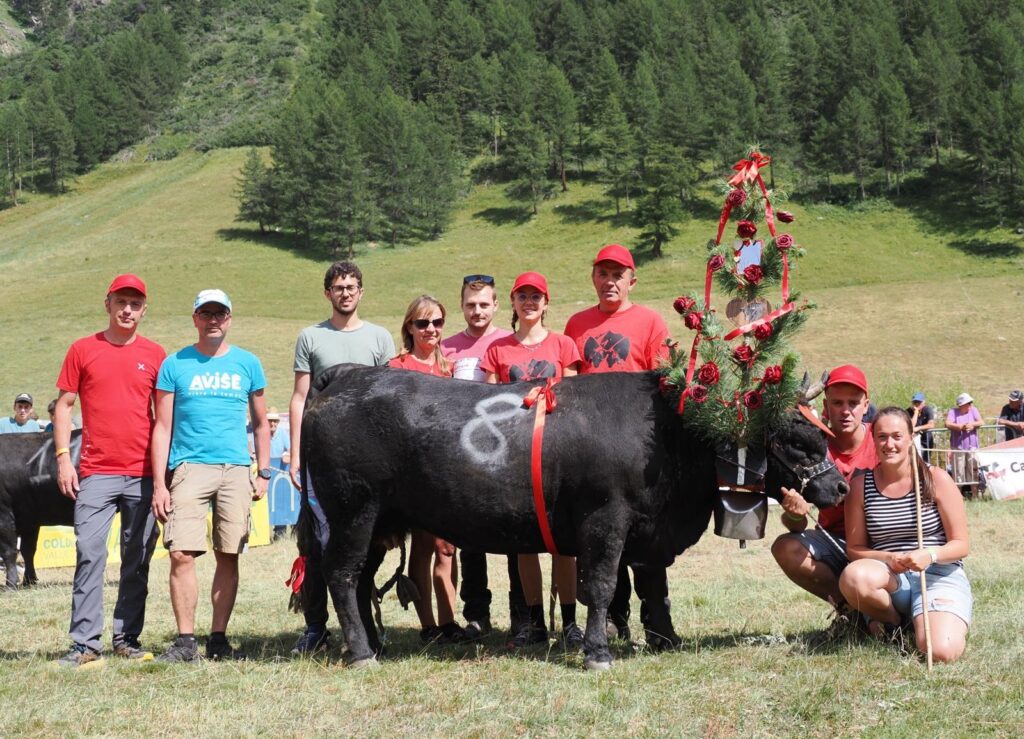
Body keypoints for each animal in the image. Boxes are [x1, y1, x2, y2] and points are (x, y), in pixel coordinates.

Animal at [0, 429, 78, 585]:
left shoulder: (4, 514)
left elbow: (9, 551)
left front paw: (11, 583)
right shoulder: (29, 519)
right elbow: (28, 549)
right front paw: (29, 580)